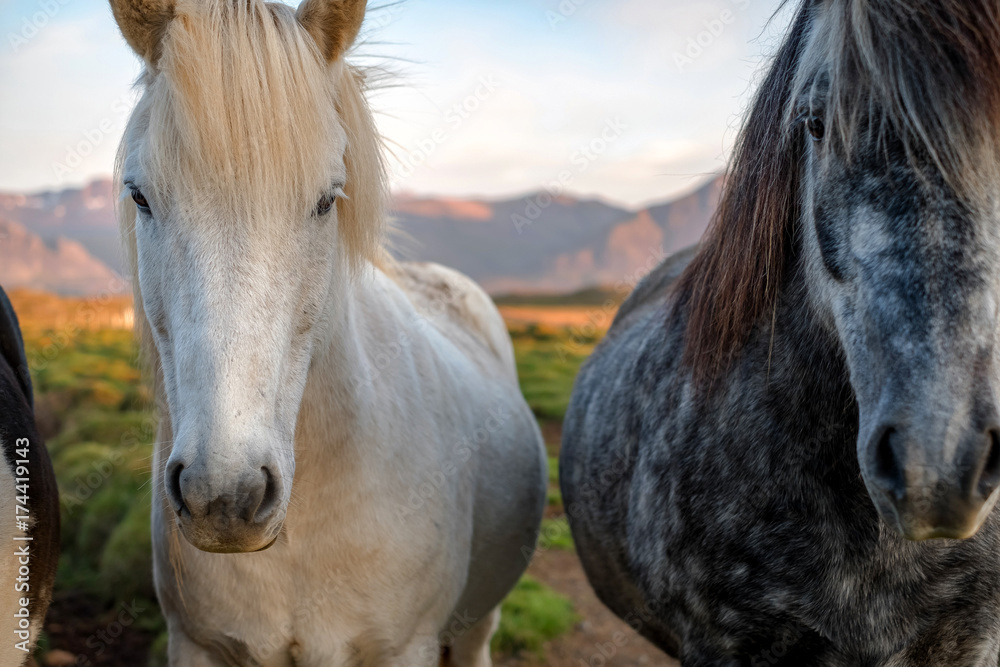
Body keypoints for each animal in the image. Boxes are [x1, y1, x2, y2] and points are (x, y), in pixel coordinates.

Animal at [108, 1, 547, 664]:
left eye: (326, 200)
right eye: (140, 196)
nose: (224, 497)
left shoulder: (405, 646)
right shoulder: (196, 643)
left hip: (478, 621)